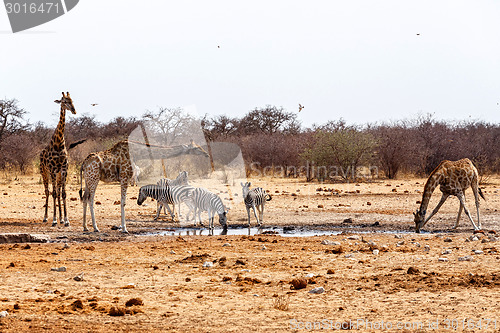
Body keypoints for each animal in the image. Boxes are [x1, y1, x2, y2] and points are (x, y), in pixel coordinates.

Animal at [39, 91, 76, 226]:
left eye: (72, 100)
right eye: (64, 101)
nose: (74, 110)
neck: (59, 142)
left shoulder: (64, 169)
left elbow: (63, 193)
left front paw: (66, 219)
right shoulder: (52, 169)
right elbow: (54, 193)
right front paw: (54, 219)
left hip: (58, 174)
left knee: (58, 192)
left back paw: (61, 218)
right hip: (44, 172)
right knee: (48, 191)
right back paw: (46, 218)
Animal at [77, 139, 209, 232]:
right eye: (196, 148)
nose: (206, 154)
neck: (137, 153)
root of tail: (84, 163)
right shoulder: (125, 177)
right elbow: (123, 202)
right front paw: (124, 229)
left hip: (88, 179)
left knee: (85, 198)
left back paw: (85, 227)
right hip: (94, 178)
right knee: (91, 199)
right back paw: (95, 227)